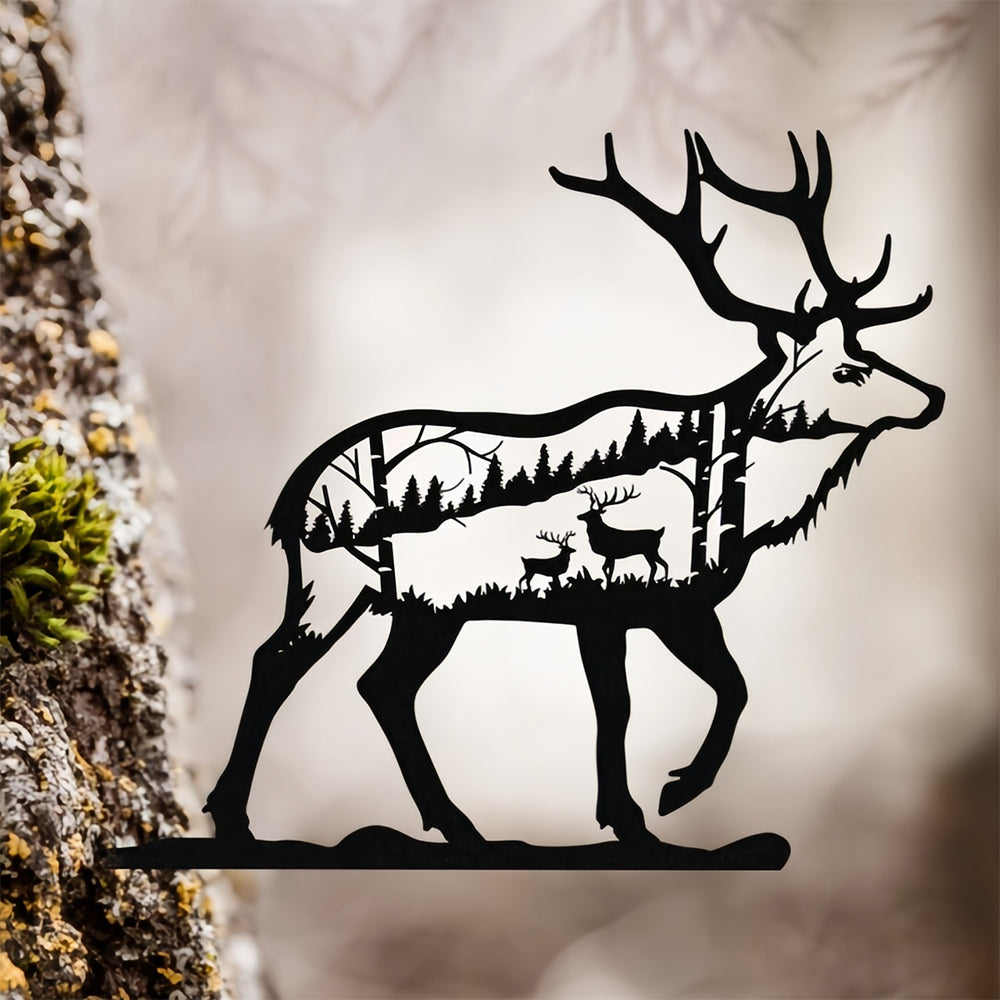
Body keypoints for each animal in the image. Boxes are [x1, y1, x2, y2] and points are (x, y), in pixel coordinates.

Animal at [204, 131, 944, 849]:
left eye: (870, 351)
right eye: (848, 369)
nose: (934, 397)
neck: (740, 515)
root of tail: (290, 498)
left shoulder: (672, 602)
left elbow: (725, 686)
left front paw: (654, 799)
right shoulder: (616, 601)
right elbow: (636, 702)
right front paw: (649, 807)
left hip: (424, 606)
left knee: (379, 684)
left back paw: (456, 825)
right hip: (336, 579)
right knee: (280, 661)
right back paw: (236, 816)